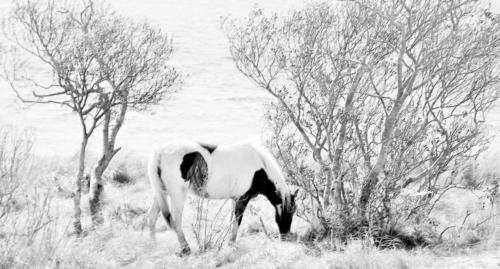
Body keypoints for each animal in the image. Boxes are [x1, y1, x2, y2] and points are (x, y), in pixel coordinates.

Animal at [146, 139, 296, 254]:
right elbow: (237, 221)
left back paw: (154, 246)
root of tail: (160, 152)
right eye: (290, 212)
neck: (259, 169)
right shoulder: (242, 199)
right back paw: (185, 248)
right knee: (176, 220)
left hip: (161, 193)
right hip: (177, 195)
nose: (285, 237)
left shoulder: (235, 199)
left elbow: (232, 220)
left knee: (151, 218)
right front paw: (232, 244)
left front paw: (229, 242)